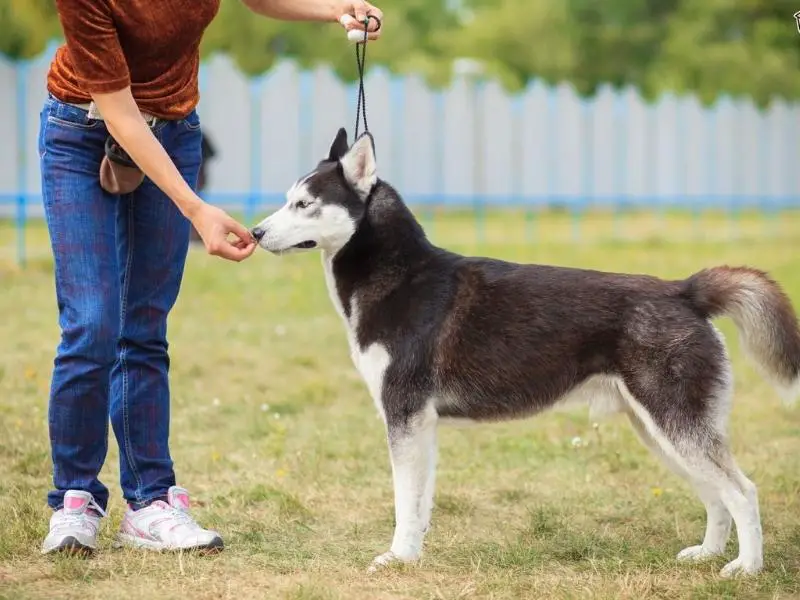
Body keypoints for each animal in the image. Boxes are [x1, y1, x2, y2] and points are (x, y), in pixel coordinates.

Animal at [253, 126, 800, 576]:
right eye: (287, 200)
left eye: (304, 204)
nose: (255, 232)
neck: (398, 277)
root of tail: (683, 290)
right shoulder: (421, 426)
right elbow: (420, 502)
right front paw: (416, 552)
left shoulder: (404, 415)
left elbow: (403, 503)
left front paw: (399, 557)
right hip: (659, 431)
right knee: (715, 495)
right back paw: (708, 554)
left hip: (676, 425)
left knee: (743, 492)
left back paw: (746, 568)